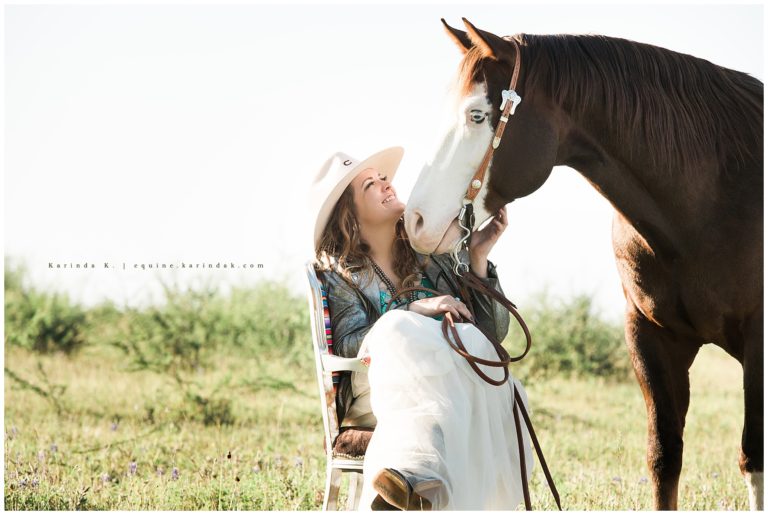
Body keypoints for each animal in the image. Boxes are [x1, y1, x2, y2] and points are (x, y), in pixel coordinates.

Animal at [404, 18, 763, 510]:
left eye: (477, 115)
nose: (414, 221)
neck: (713, 200)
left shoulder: (758, 343)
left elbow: (753, 458)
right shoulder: (650, 337)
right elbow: (663, 456)